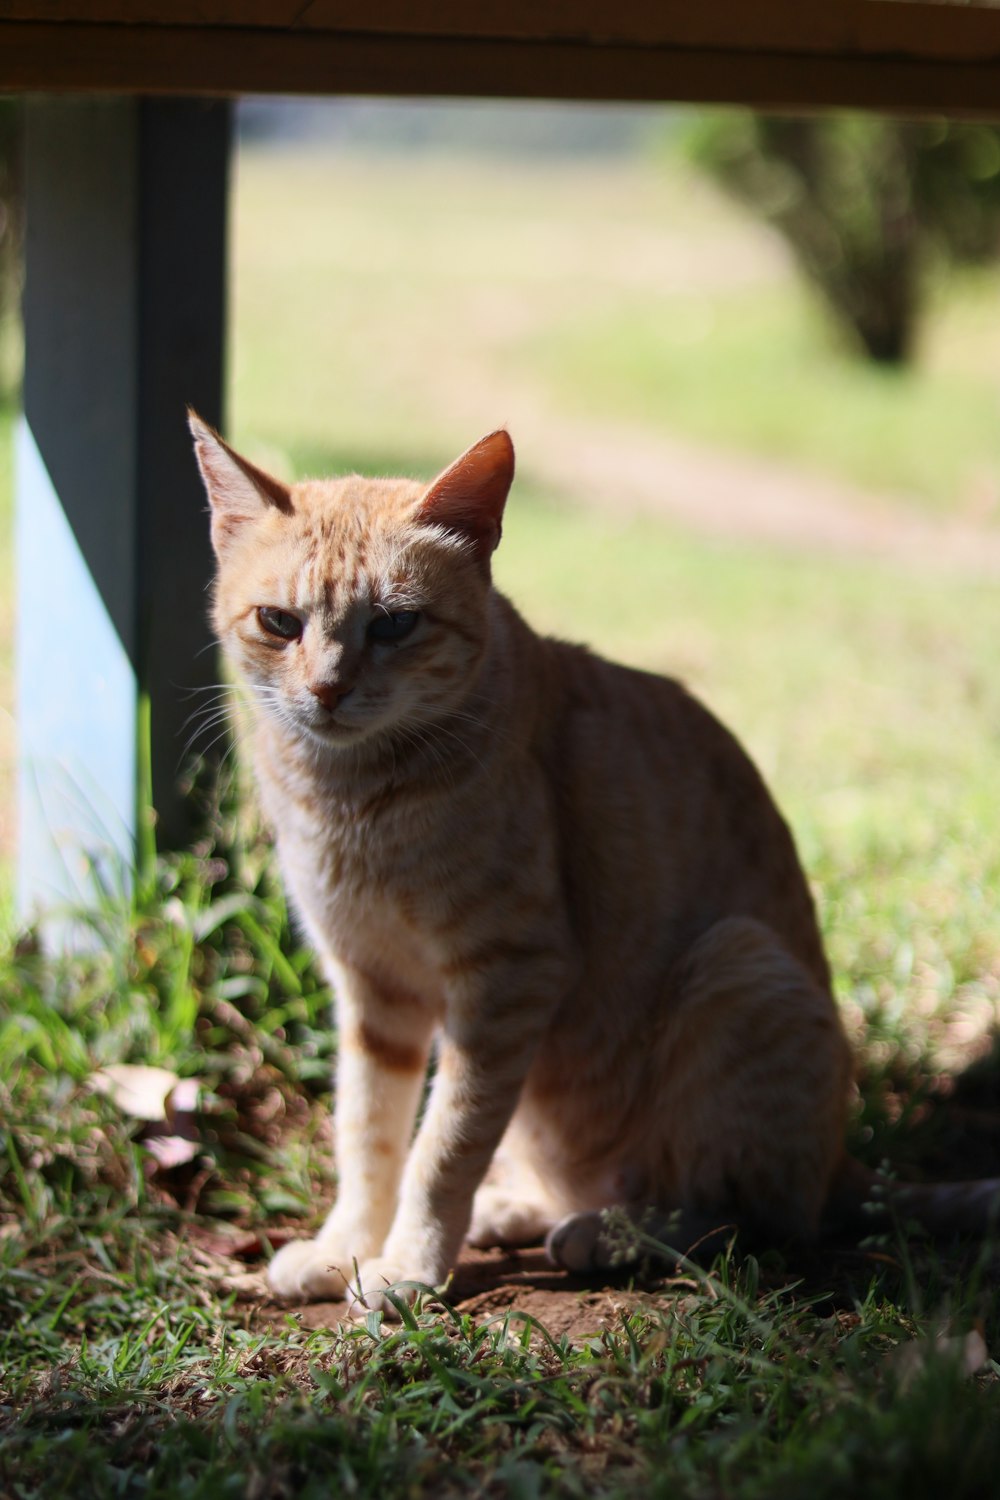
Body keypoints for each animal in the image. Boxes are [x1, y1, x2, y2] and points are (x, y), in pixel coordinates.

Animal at [191, 423, 995, 1314]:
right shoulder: (375, 990)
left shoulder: (510, 977)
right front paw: (345, 1250)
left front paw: (408, 1265)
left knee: (753, 1218)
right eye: (279, 621)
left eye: (396, 625)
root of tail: (842, 1163)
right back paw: (515, 1209)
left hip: (741, 965)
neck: (350, 797)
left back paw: (612, 1234)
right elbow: (369, 1137)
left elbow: (444, 1145)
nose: (329, 691)